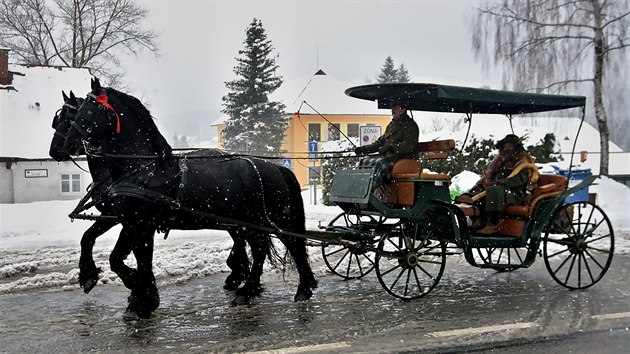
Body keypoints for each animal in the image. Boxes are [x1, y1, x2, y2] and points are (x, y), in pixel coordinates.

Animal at [50, 90, 252, 294]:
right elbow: (88, 238)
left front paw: (128, 280)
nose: (56, 150)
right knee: (239, 236)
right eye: (57, 121)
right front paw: (90, 276)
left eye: (69, 118)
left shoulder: (121, 218)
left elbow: (109, 248)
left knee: (240, 236)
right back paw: (237, 273)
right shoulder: (118, 218)